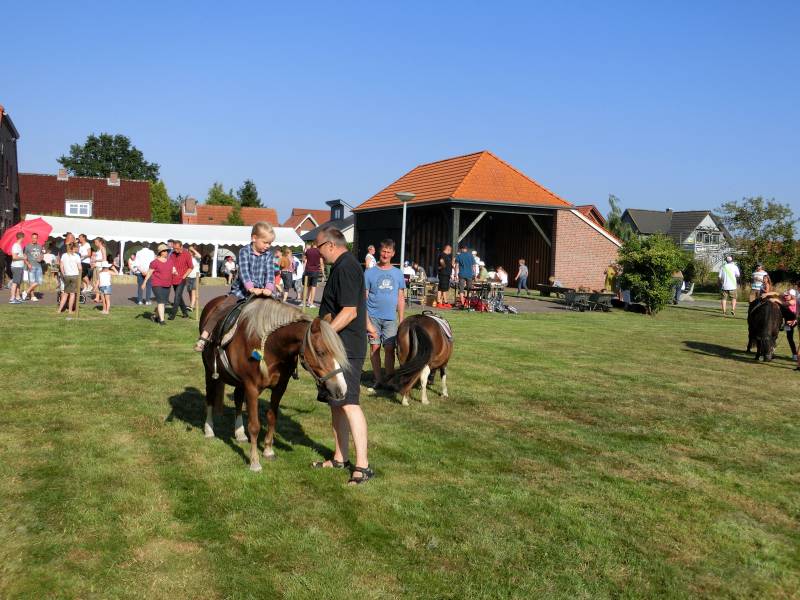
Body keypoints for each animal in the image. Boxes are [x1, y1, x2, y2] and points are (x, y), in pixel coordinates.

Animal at [199, 296, 348, 472]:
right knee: (209, 397)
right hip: (209, 371)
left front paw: (268, 450)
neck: (270, 347)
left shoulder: (279, 387)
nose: (341, 389)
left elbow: (272, 417)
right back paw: (209, 429)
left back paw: (240, 433)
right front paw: (254, 461)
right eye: (320, 352)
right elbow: (254, 425)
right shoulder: (251, 387)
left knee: (237, 400)